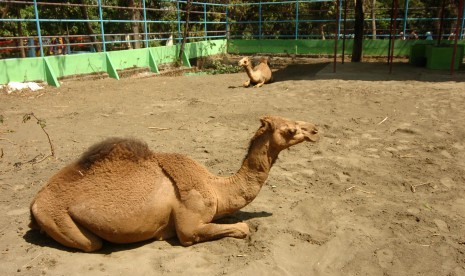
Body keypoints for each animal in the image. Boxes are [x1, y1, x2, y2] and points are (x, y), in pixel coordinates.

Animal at [29, 115, 320, 251]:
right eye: (290, 130)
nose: (315, 130)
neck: (216, 187)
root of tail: (35, 203)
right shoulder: (189, 226)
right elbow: (242, 227)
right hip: (58, 218)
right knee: (93, 243)